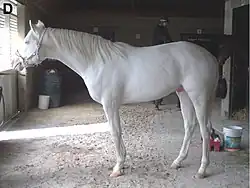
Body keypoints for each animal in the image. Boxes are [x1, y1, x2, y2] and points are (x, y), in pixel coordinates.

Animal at [11, 19, 219, 178]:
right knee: (190, 126)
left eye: (27, 41)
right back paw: (177, 162)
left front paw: (118, 167)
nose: (14, 62)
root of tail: (209, 57)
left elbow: (115, 132)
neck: (96, 61)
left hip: (198, 96)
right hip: (183, 94)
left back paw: (202, 170)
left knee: (204, 129)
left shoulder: (110, 104)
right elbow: (117, 131)